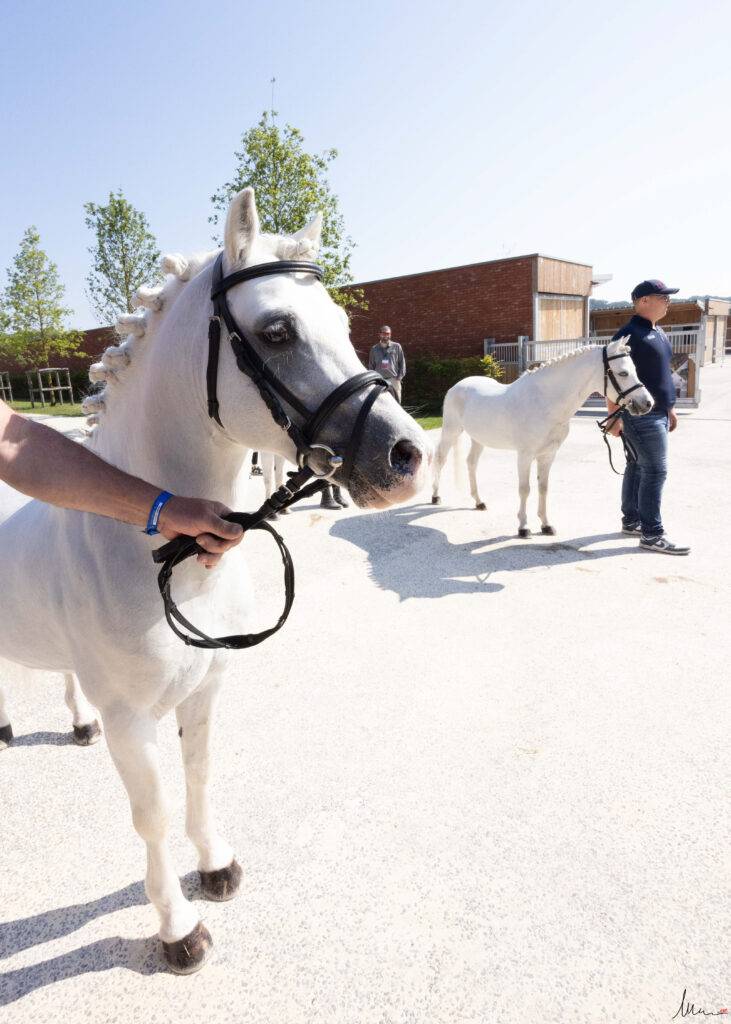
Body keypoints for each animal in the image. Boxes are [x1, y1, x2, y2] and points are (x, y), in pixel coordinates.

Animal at [0, 187, 429, 974]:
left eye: (344, 325)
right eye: (277, 330)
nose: (408, 455)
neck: (158, 555)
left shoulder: (203, 690)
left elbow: (198, 775)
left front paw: (215, 865)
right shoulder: (131, 720)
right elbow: (154, 813)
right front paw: (177, 926)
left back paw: (72, 723)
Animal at [431, 339, 653, 536]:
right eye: (623, 373)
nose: (647, 403)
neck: (545, 401)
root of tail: (458, 385)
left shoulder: (548, 455)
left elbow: (543, 488)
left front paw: (546, 525)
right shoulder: (525, 455)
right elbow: (525, 489)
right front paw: (523, 527)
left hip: (479, 438)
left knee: (471, 463)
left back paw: (479, 502)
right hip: (451, 431)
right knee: (440, 459)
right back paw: (435, 496)